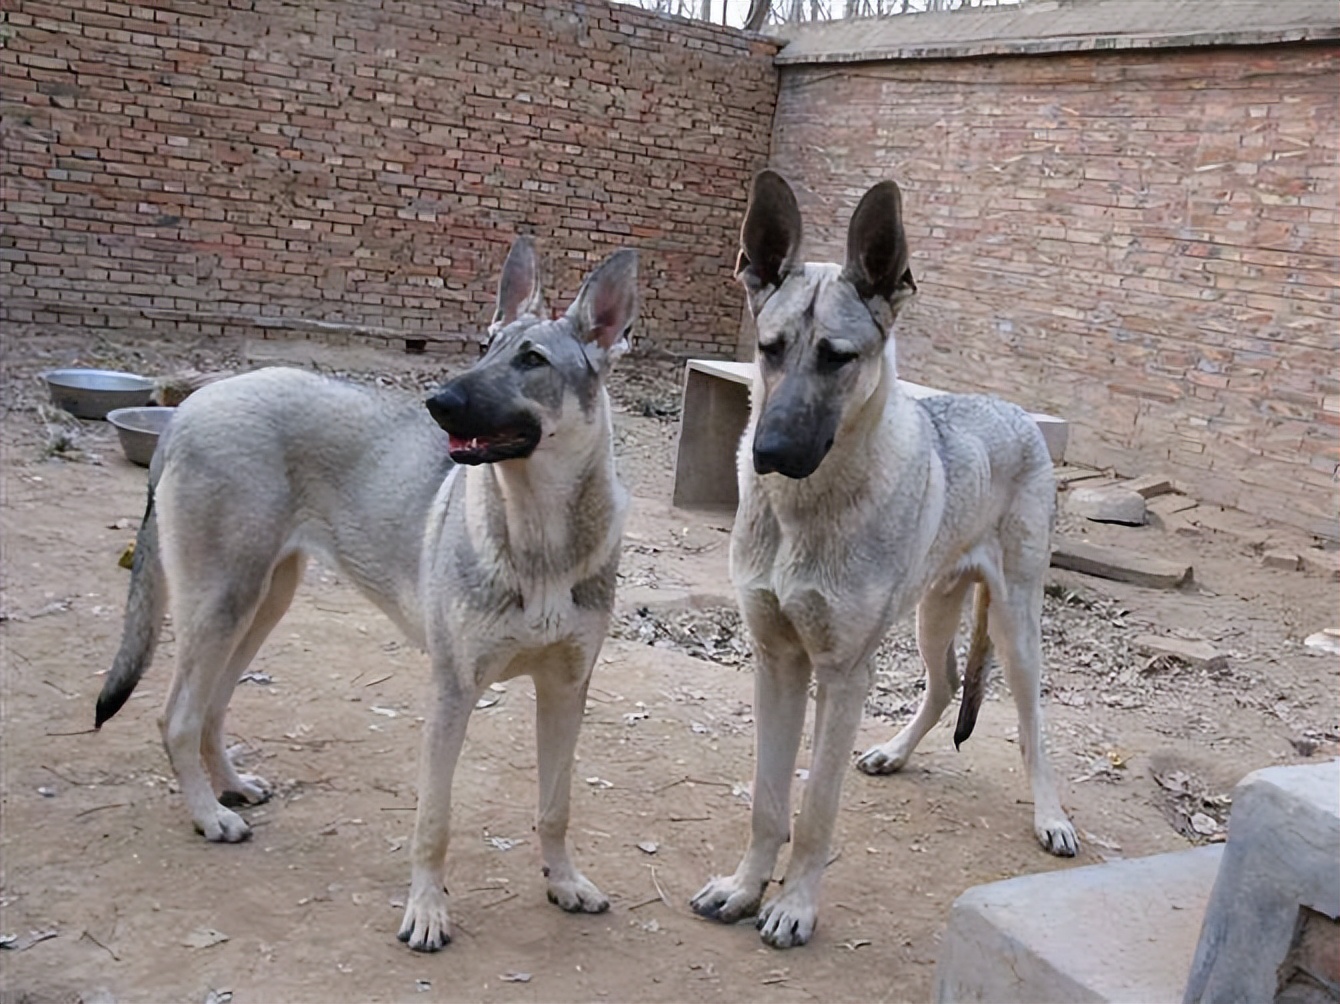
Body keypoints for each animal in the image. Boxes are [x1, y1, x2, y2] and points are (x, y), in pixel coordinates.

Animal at [95, 238, 637, 954]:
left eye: (531, 360)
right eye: (485, 345)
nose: (437, 401)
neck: (540, 537)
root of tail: (190, 408)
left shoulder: (567, 691)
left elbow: (556, 806)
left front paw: (565, 882)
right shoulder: (453, 692)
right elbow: (434, 821)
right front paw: (428, 910)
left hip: (262, 605)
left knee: (210, 708)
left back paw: (231, 787)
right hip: (222, 606)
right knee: (176, 716)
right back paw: (209, 816)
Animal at [691, 170, 1077, 949]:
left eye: (838, 357)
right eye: (769, 348)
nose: (769, 452)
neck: (804, 513)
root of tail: (1018, 412)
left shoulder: (842, 675)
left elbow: (815, 809)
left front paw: (794, 906)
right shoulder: (776, 662)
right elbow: (768, 801)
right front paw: (745, 889)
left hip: (1016, 625)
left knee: (1031, 724)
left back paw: (1050, 816)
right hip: (935, 610)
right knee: (945, 682)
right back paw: (894, 753)